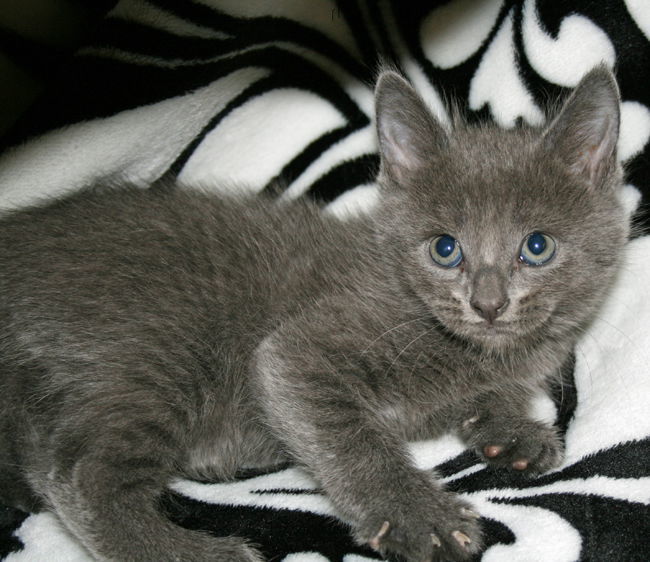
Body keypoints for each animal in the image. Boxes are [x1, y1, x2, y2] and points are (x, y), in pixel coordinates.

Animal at [0, 66, 628, 560]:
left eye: (537, 246)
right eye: (445, 249)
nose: (489, 303)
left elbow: (490, 399)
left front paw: (514, 432)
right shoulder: (302, 349)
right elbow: (350, 435)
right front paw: (420, 517)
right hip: (158, 347)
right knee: (77, 473)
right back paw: (194, 553)